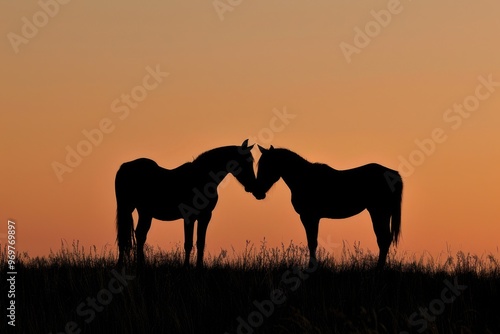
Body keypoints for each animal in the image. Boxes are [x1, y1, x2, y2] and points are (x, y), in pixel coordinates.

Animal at [115, 140, 256, 268]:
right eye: (246, 162)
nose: (252, 186)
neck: (202, 179)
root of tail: (124, 167)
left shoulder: (205, 216)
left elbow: (200, 243)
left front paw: (199, 267)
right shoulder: (190, 216)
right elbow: (188, 243)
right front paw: (186, 266)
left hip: (144, 212)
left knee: (139, 235)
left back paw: (139, 264)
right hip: (130, 209)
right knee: (127, 236)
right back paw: (123, 265)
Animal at [254, 146, 402, 268]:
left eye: (267, 165)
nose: (258, 192)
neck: (304, 178)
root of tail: (394, 173)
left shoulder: (309, 217)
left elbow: (312, 242)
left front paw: (311, 267)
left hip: (379, 212)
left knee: (383, 239)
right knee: (385, 239)